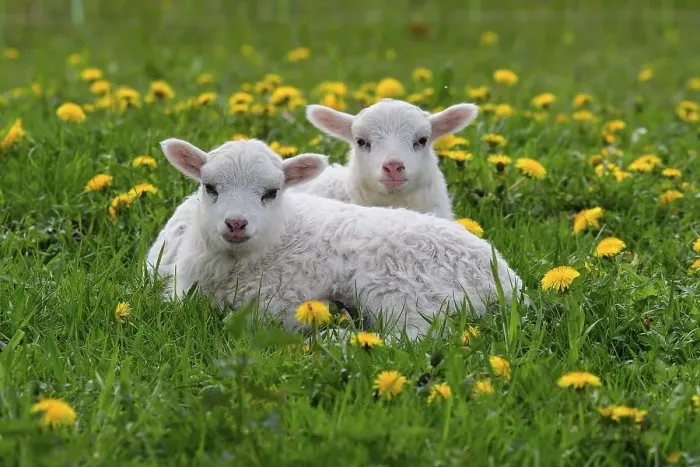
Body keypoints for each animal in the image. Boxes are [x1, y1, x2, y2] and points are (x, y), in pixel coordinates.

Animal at [146, 137, 525, 340]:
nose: (236, 224)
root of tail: (508, 282)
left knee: (417, 337)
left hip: (405, 290)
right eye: (210, 188)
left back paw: (339, 338)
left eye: (271, 192)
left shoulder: (277, 302)